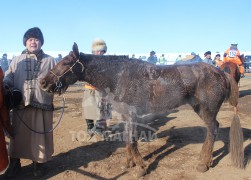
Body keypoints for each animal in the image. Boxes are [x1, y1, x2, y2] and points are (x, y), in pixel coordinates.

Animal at [40, 43, 243, 176]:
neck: (118, 76)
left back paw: (203, 164)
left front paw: (140, 167)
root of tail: (221, 73)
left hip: (207, 111)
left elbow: (131, 142)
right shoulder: (126, 117)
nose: (43, 82)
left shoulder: (131, 115)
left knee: (213, 129)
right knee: (211, 131)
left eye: (66, 63)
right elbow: (128, 141)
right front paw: (129, 163)